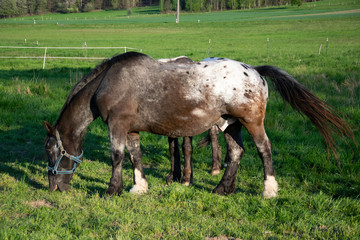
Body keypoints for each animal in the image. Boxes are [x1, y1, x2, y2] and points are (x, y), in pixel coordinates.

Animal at [44, 51, 354, 198]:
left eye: (50, 151)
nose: (54, 188)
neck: (109, 82)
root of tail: (254, 71)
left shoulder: (117, 126)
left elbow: (117, 157)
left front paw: (112, 190)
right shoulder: (130, 129)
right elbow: (135, 156)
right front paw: (138, 187)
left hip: (252, 122)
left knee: (264, 150)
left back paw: (269, 191)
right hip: (231, 124)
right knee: (236, 153)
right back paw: (222, 188)